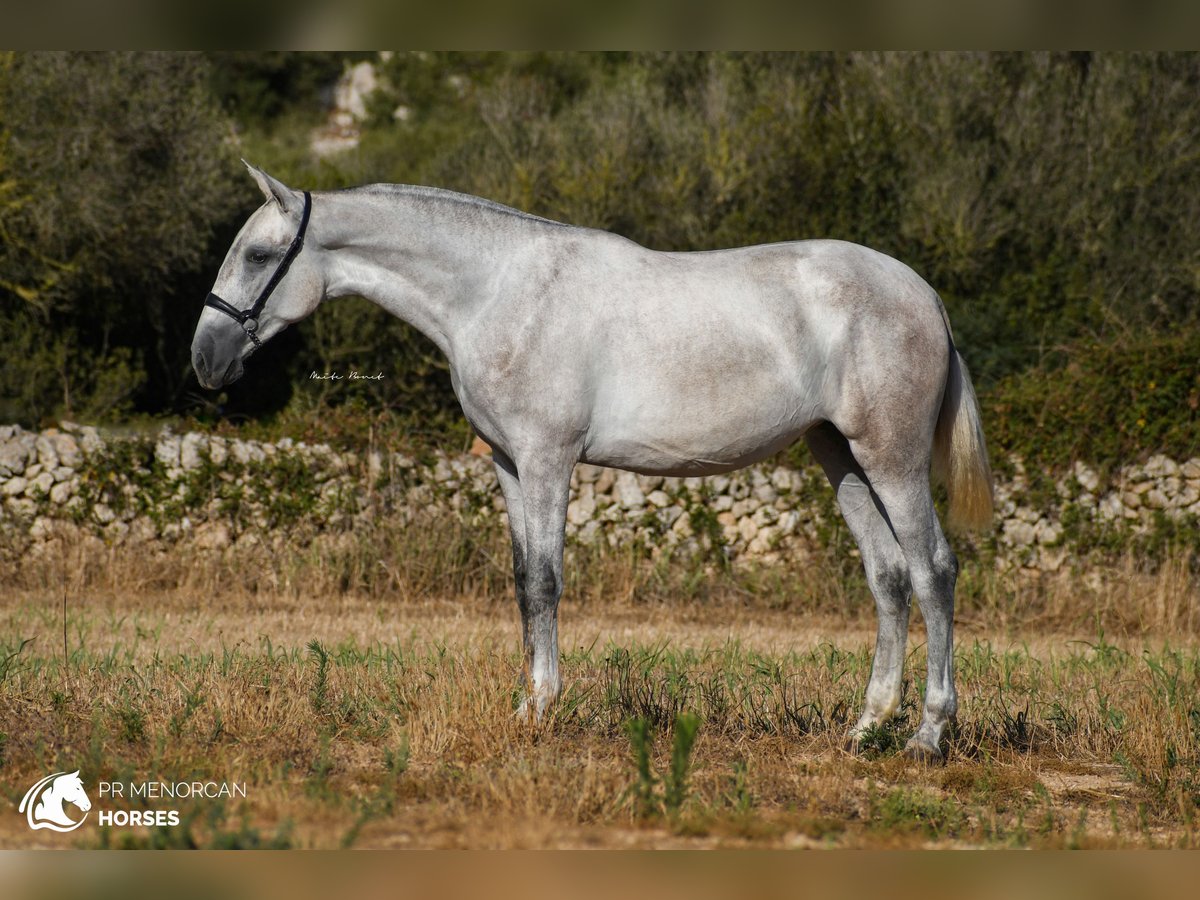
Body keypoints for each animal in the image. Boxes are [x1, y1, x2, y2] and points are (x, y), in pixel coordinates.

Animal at [192, 164, 988, 763]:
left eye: (257, 256)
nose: (205, 360)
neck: (498, 292)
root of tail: (924, 295)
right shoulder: (509, 464)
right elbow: (522, 584)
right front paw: (526, 706)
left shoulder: (549, 459)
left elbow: (546, 583)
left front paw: (544, 709)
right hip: (840, 456)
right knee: (888, 578)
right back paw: (865, 727)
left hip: (891, 459)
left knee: (933, 570)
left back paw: (927, 734)